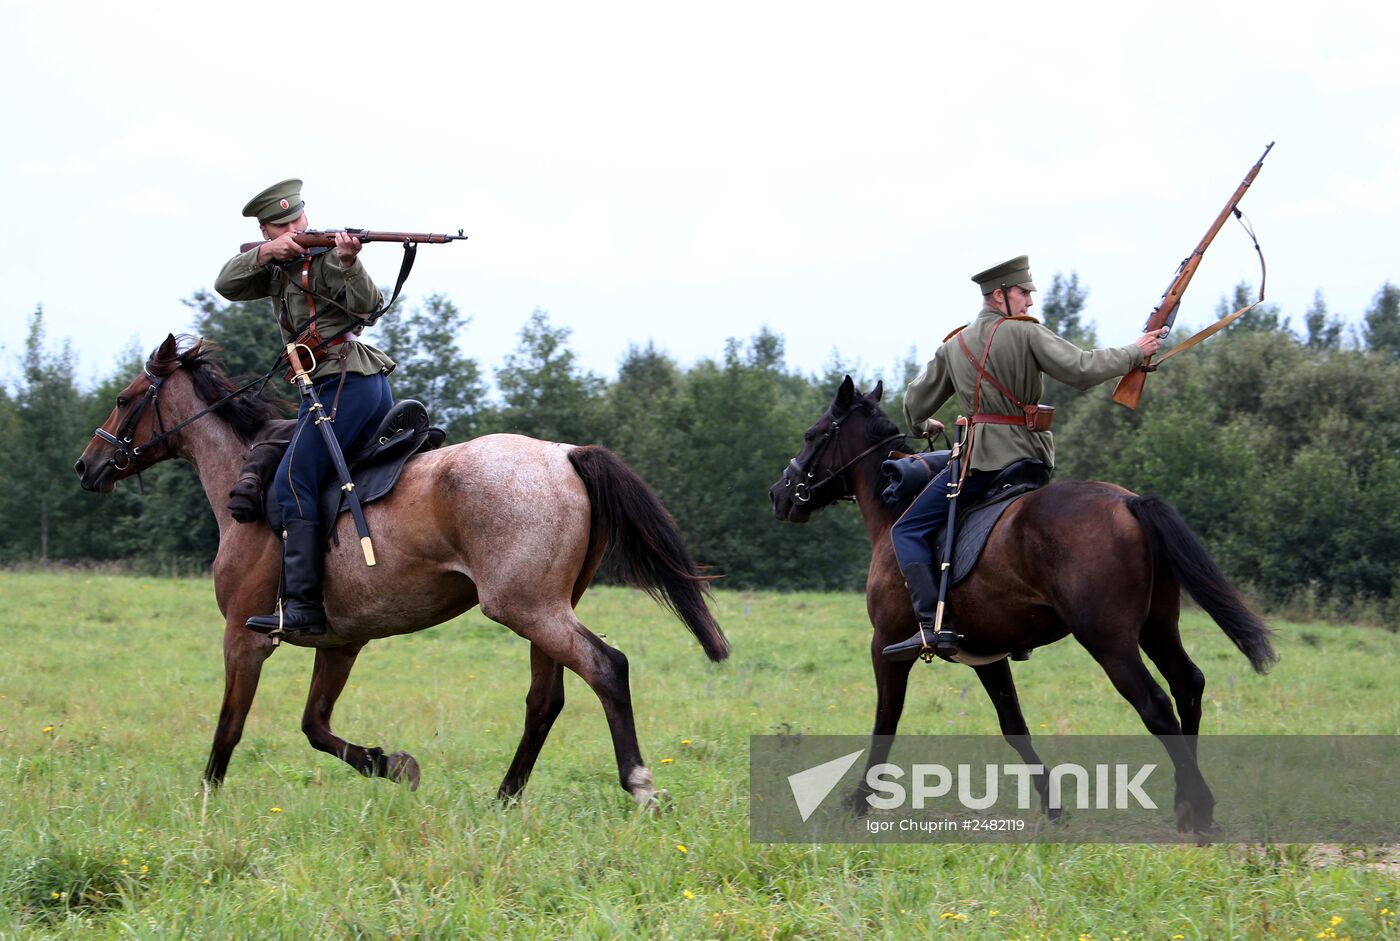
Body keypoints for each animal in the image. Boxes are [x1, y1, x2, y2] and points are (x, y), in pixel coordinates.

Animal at [73, 334, 733, 806]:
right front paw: (390, 765)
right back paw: (504, 797)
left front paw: (205, 801)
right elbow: (314, 726)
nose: (87, 466)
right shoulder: (339, 642)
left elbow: (230, 726)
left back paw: (638, 785)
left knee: (607, 668)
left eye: (125, 399)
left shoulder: (245, 637)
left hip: (529, 610)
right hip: (543, 611)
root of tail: (566, 454)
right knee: (545, 700)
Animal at [772, 375, 1276, 828]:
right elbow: (1014, 725)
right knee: (1188, 685)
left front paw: (858, 801)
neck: (896, 504)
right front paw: (1053, 808)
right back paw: (1186, 803)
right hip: (1157, 628)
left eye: (813, 435)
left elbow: (885, 723)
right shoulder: (986, 656)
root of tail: (1128, 504)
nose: (780, 493)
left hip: (1110, 641)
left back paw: (1198, 805)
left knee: (1156, 707)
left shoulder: (887, 647)